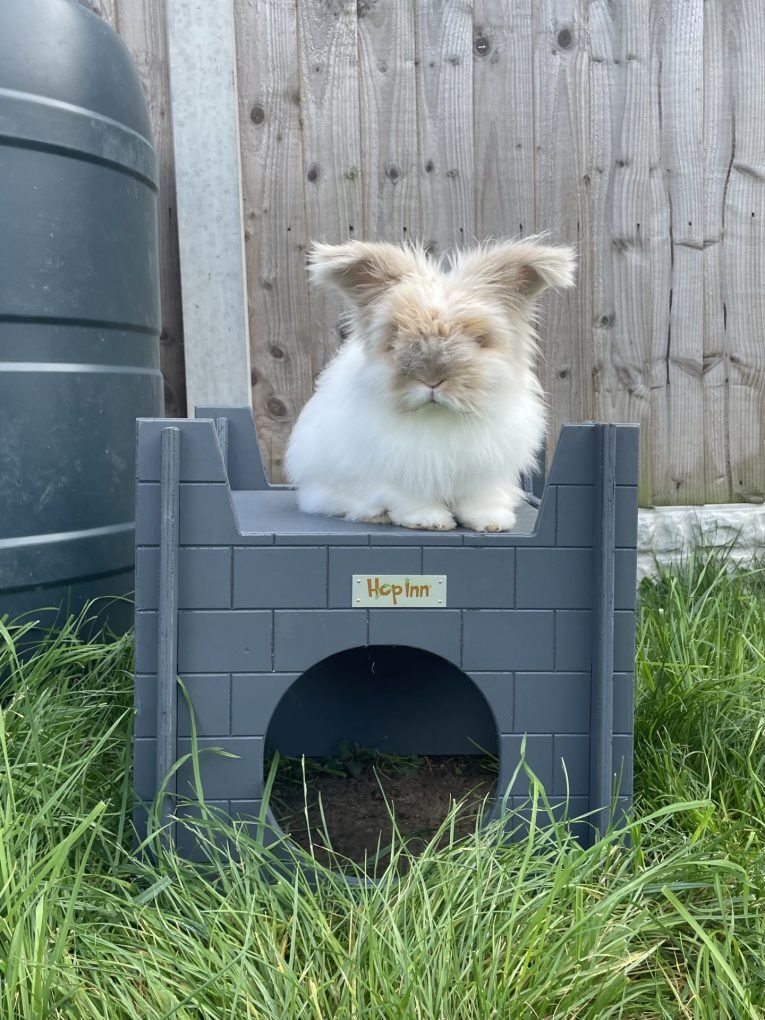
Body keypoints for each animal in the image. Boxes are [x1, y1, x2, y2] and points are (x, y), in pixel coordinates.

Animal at [285, 238, 576, 532]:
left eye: (479, 340)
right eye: (394, 339)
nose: (432, 379)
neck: (439, 416)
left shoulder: (484, 474)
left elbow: (480, 500)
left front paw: (492, 522)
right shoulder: (403, 474)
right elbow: (411, 500)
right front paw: (430, 521)